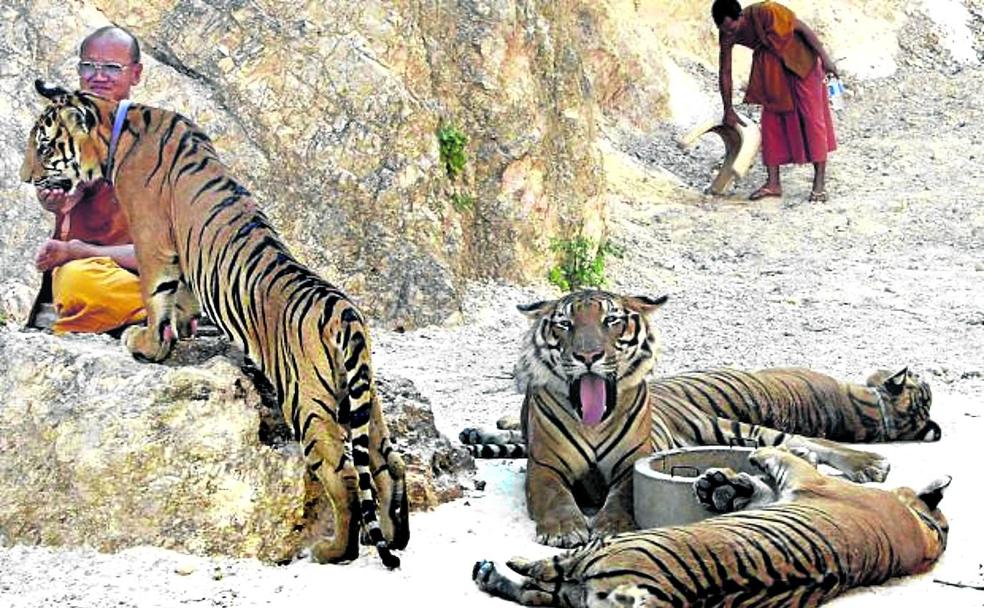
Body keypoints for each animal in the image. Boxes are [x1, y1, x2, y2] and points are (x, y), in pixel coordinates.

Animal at [20, 81, 408, 568]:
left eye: (44, 146)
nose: (24, 177)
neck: (116, 125)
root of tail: (345, 316)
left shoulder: (152, 237)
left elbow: (155, 294)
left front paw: (146, 345)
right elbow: (180, 299)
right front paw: (180, 331)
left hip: (307, 400)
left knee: (342, 475)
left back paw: (333, 550)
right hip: (363, 399)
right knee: (387, 462)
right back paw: (395, 536)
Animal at [460, 290, 894, 548]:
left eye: (610, 321)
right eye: (565, 324)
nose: (588, 356)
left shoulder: (631, 465)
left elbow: (623, 496)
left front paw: (611, 526)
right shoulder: (545, 466)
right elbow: (554, 495)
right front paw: (565, 529)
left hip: (727, 428)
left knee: (803, 441)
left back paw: (868, 463)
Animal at [473, 445, 950, 607]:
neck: (926, 531)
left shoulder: (804, 480)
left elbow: (782, 453)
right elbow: (759, 484)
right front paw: (722, 485)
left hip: (601, 553)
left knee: (544, 572)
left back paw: (493, 566)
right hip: (573, 593)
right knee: (537, 591)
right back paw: (490, 573)